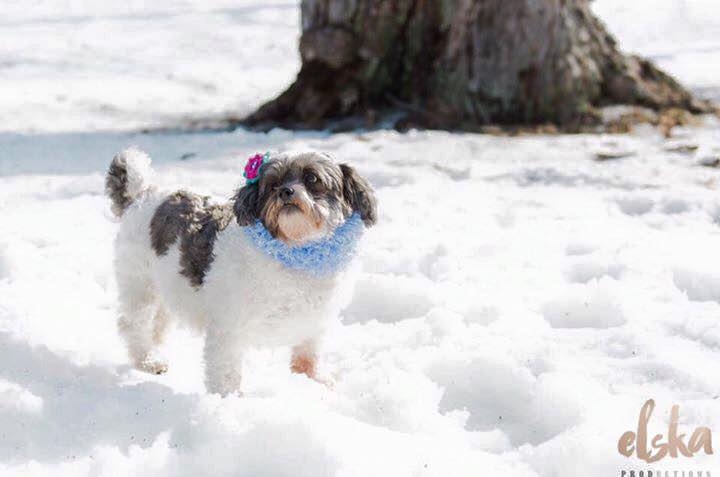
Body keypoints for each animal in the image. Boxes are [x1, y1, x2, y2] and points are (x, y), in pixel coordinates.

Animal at [106, 148, 377, 395]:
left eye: (312, 179)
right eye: (272, 185)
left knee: (158, 323)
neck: (296, 251)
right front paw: (228, 402)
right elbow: (226, 372)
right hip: (140, 284)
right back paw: (148, 360)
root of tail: (142, 194)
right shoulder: (228, 328)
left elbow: (308, 355)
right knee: (133, 323)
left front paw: (315, 381)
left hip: (168, 288)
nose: (285, 192)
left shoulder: (315, 323)